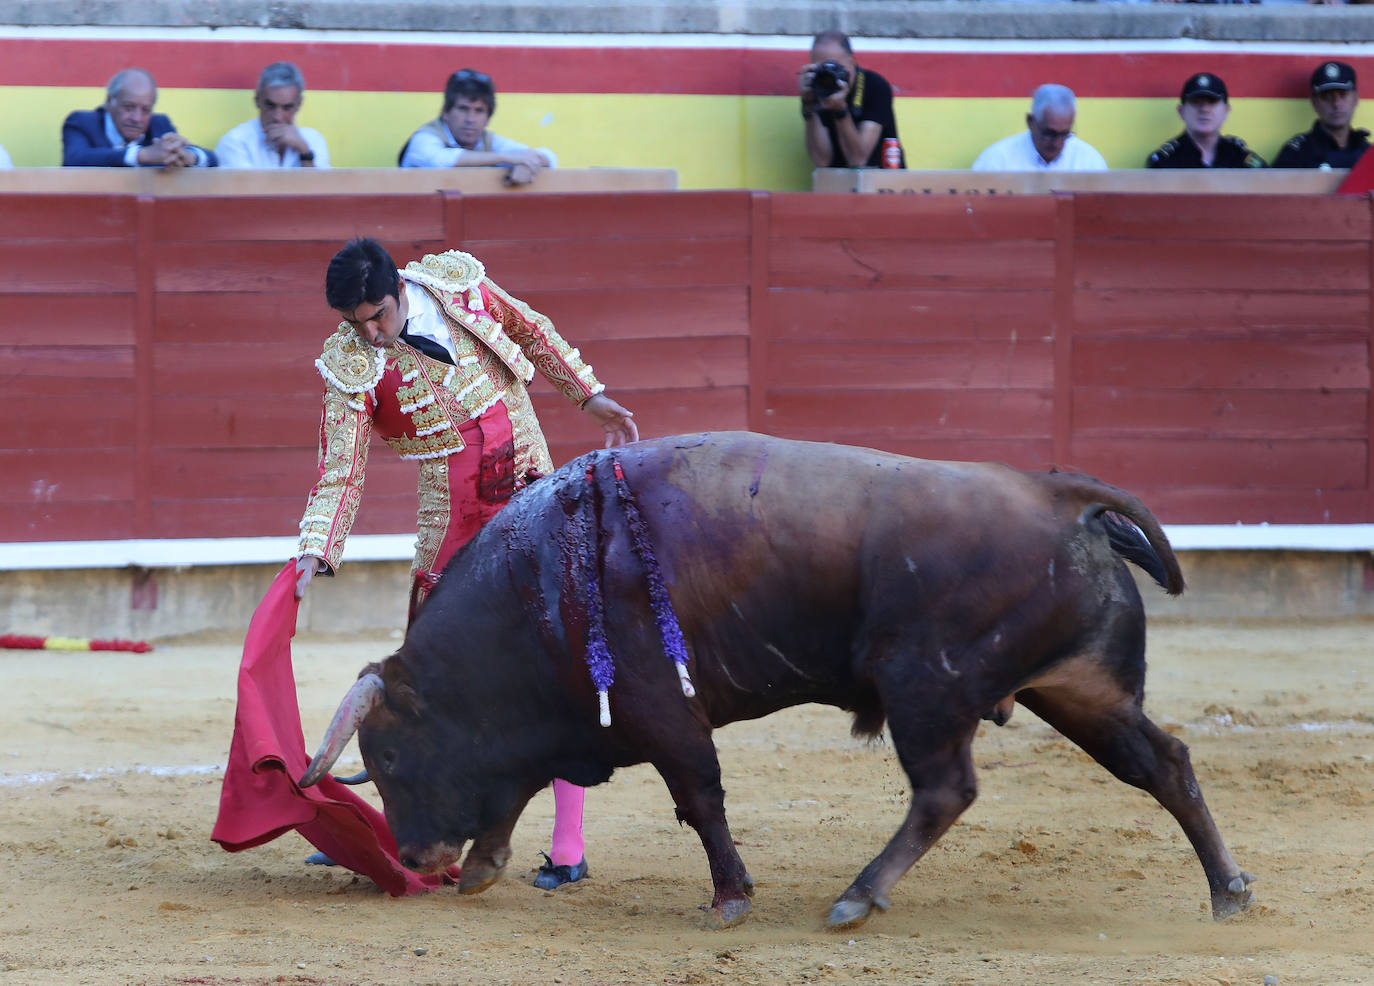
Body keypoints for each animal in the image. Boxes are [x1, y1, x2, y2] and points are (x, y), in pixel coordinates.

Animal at [300, 433, 1258, 928]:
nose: (412, 857)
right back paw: (1228, 892)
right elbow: (517, 790)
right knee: (1165, 762)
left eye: (392, 758)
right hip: (1079, 690)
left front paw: (729, 899)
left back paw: (858, 897)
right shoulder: (568, 727)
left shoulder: (660, 710)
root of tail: (1057, 494)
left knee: (945, 789)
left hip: (926, 689)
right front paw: (483, 869)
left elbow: (698, 799)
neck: (544, 577)